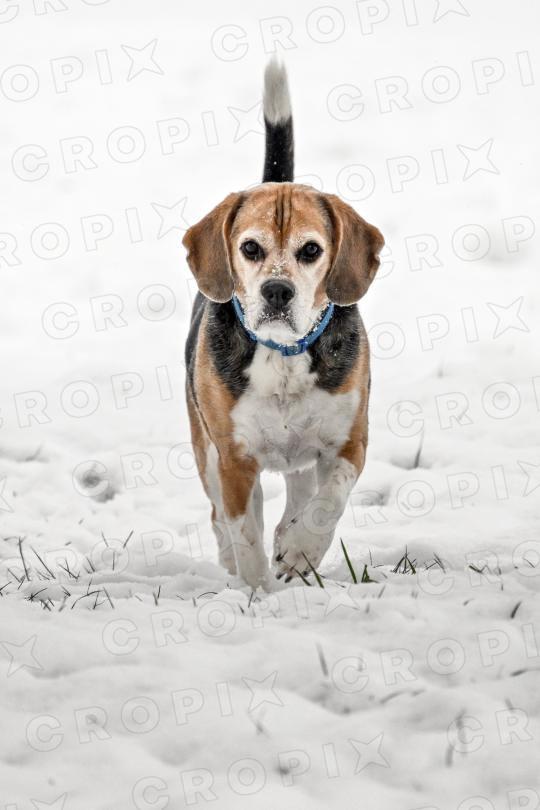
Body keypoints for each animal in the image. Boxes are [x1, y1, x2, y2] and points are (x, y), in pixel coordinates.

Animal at [183, 60, 384, 589]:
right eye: (250, 248)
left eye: (310, 250)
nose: (277, 291)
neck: (284, 354)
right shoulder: (233, 460)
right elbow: (244, 533)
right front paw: (256, 593)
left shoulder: (349, 443)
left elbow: (326, 503)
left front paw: (299, 551)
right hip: (205, 449)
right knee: (222, 516)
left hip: (301, 457)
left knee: (300, 495)